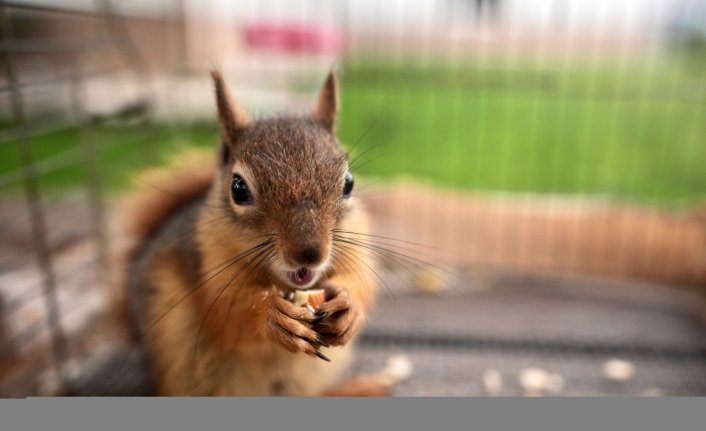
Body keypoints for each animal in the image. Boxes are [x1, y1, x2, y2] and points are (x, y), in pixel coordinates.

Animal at [115, 69, 402, 396]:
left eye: (349, 183)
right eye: (238, 188)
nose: (310, 253)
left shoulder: (356, 245)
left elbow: (361, 282)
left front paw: (349, 305)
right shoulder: (206, 259)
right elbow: (228, 313)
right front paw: (271, 315)